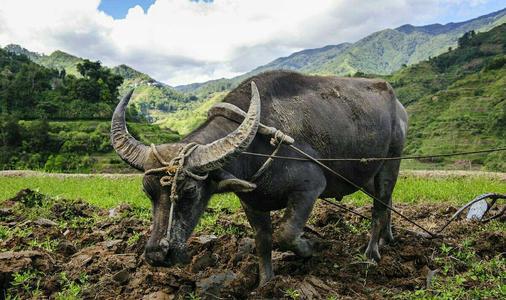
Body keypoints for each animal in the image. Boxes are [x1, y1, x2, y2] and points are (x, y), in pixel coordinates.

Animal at [109, 70, 408, 286]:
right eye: (148, 191)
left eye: (190, 191)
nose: (157, 254)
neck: (257, 146)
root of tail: (396, 103)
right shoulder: (251, 201)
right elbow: (263, 241)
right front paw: (266, 283)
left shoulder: (309, 189)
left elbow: (286, 233)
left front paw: (309, 247)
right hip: (367, 172)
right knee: (388, 203)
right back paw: (387, 238)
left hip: (390, 164)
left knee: (379, 206)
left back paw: (372, 253)